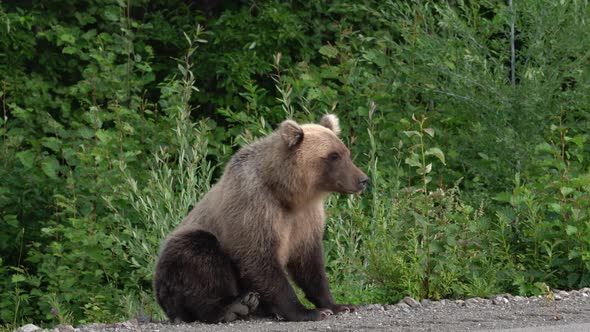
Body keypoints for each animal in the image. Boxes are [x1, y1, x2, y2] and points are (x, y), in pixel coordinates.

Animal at [153, 113, 368, 322]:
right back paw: (234, 307)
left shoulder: (307, 218)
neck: (287, 194)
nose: (363, 179)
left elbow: (310, 264)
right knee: (199, 255)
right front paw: (307, 312)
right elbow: (258, 259)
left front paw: (339, 305)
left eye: (346, 153)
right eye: (333, 156)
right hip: (179, 257)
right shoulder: (255, 206)